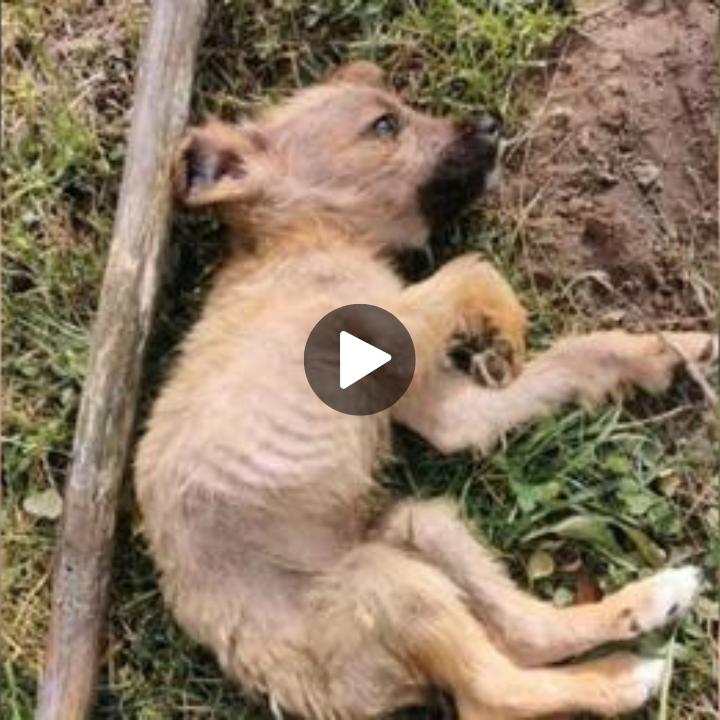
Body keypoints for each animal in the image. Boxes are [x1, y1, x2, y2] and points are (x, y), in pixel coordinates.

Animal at [136, 64, 716, 716]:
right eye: (384, 125)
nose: (491, 122)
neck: (309, 239)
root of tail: (286, 685)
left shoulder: (444, 412)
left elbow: (571, 356)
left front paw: (666, 350)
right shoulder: (387, 326)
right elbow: (471, 268)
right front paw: (509, 323)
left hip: (421, 527)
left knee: (526, 635)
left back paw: (650, 602)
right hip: (388, 584)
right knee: (496, 692)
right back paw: (627, 677)